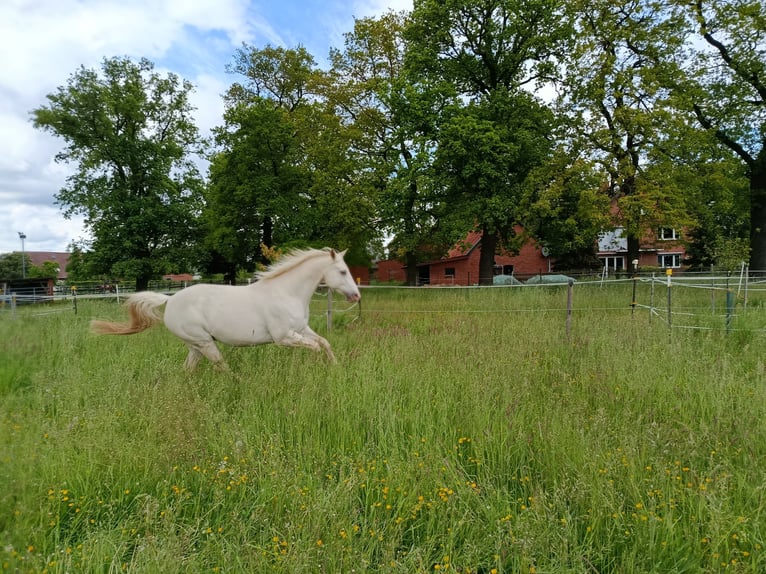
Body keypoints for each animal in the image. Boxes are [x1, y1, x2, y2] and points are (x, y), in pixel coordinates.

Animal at [91, 248, 361, 370]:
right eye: (342, 271)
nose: (356, 295)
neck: (287, 292)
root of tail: (170, 300)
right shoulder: (284, 337)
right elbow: (315, 347)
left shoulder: (301, 329)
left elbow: (324, 343)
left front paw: (335, 368)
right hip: (204, 343)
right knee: (221, 365)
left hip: (196, 345)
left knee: (188, 369)